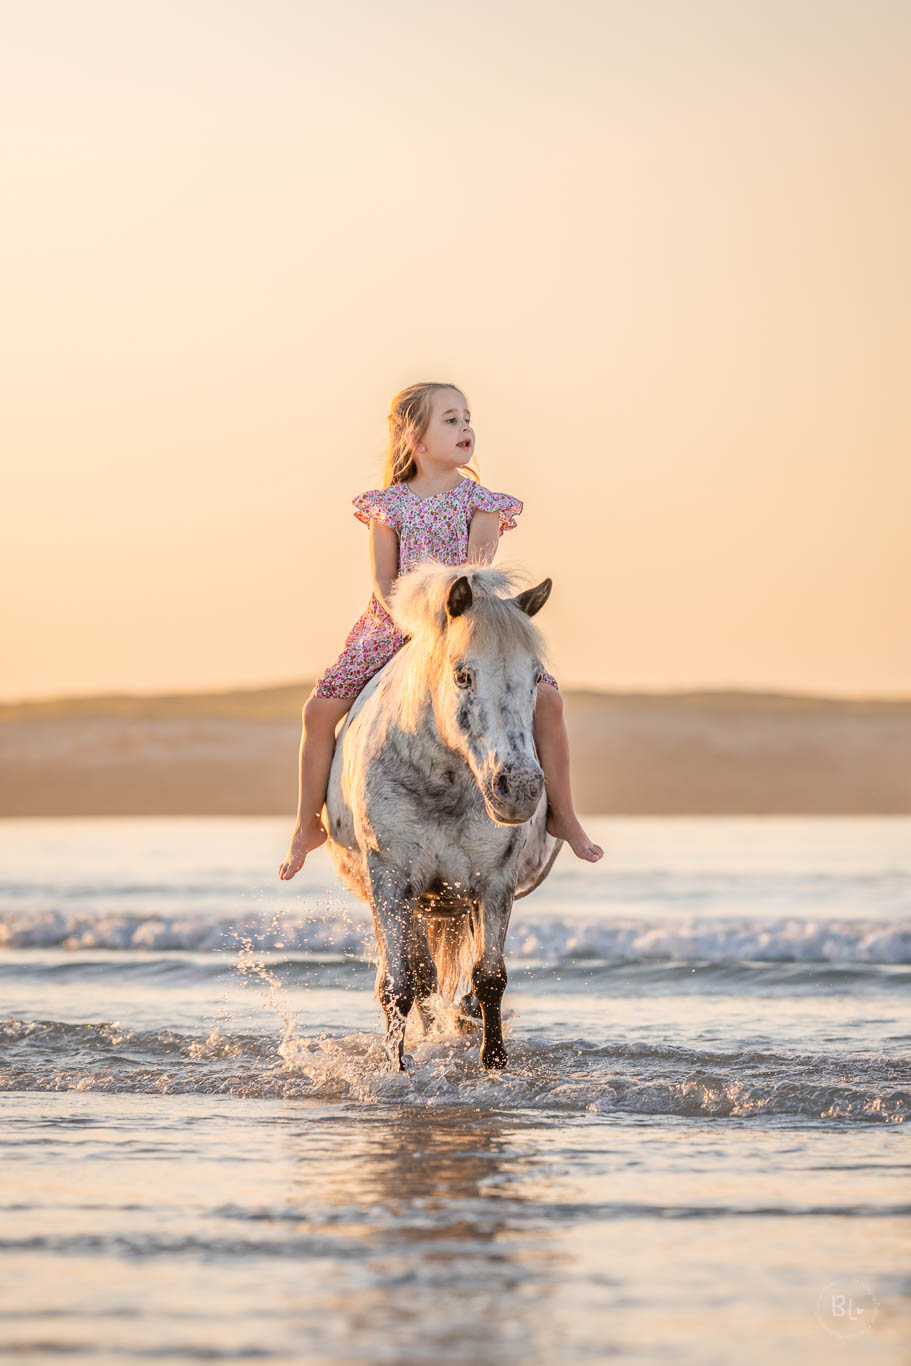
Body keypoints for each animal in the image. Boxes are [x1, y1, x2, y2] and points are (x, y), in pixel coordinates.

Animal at [322, 562, 563, 1071]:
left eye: (536, 677)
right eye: (463, 675)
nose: (520, 789)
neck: (444, 785)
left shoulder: (494, 882)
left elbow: (489, 979)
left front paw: (495, 1064)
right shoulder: (392, 878)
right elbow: (398, 986)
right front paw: (396, 1069)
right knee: (418, 976)